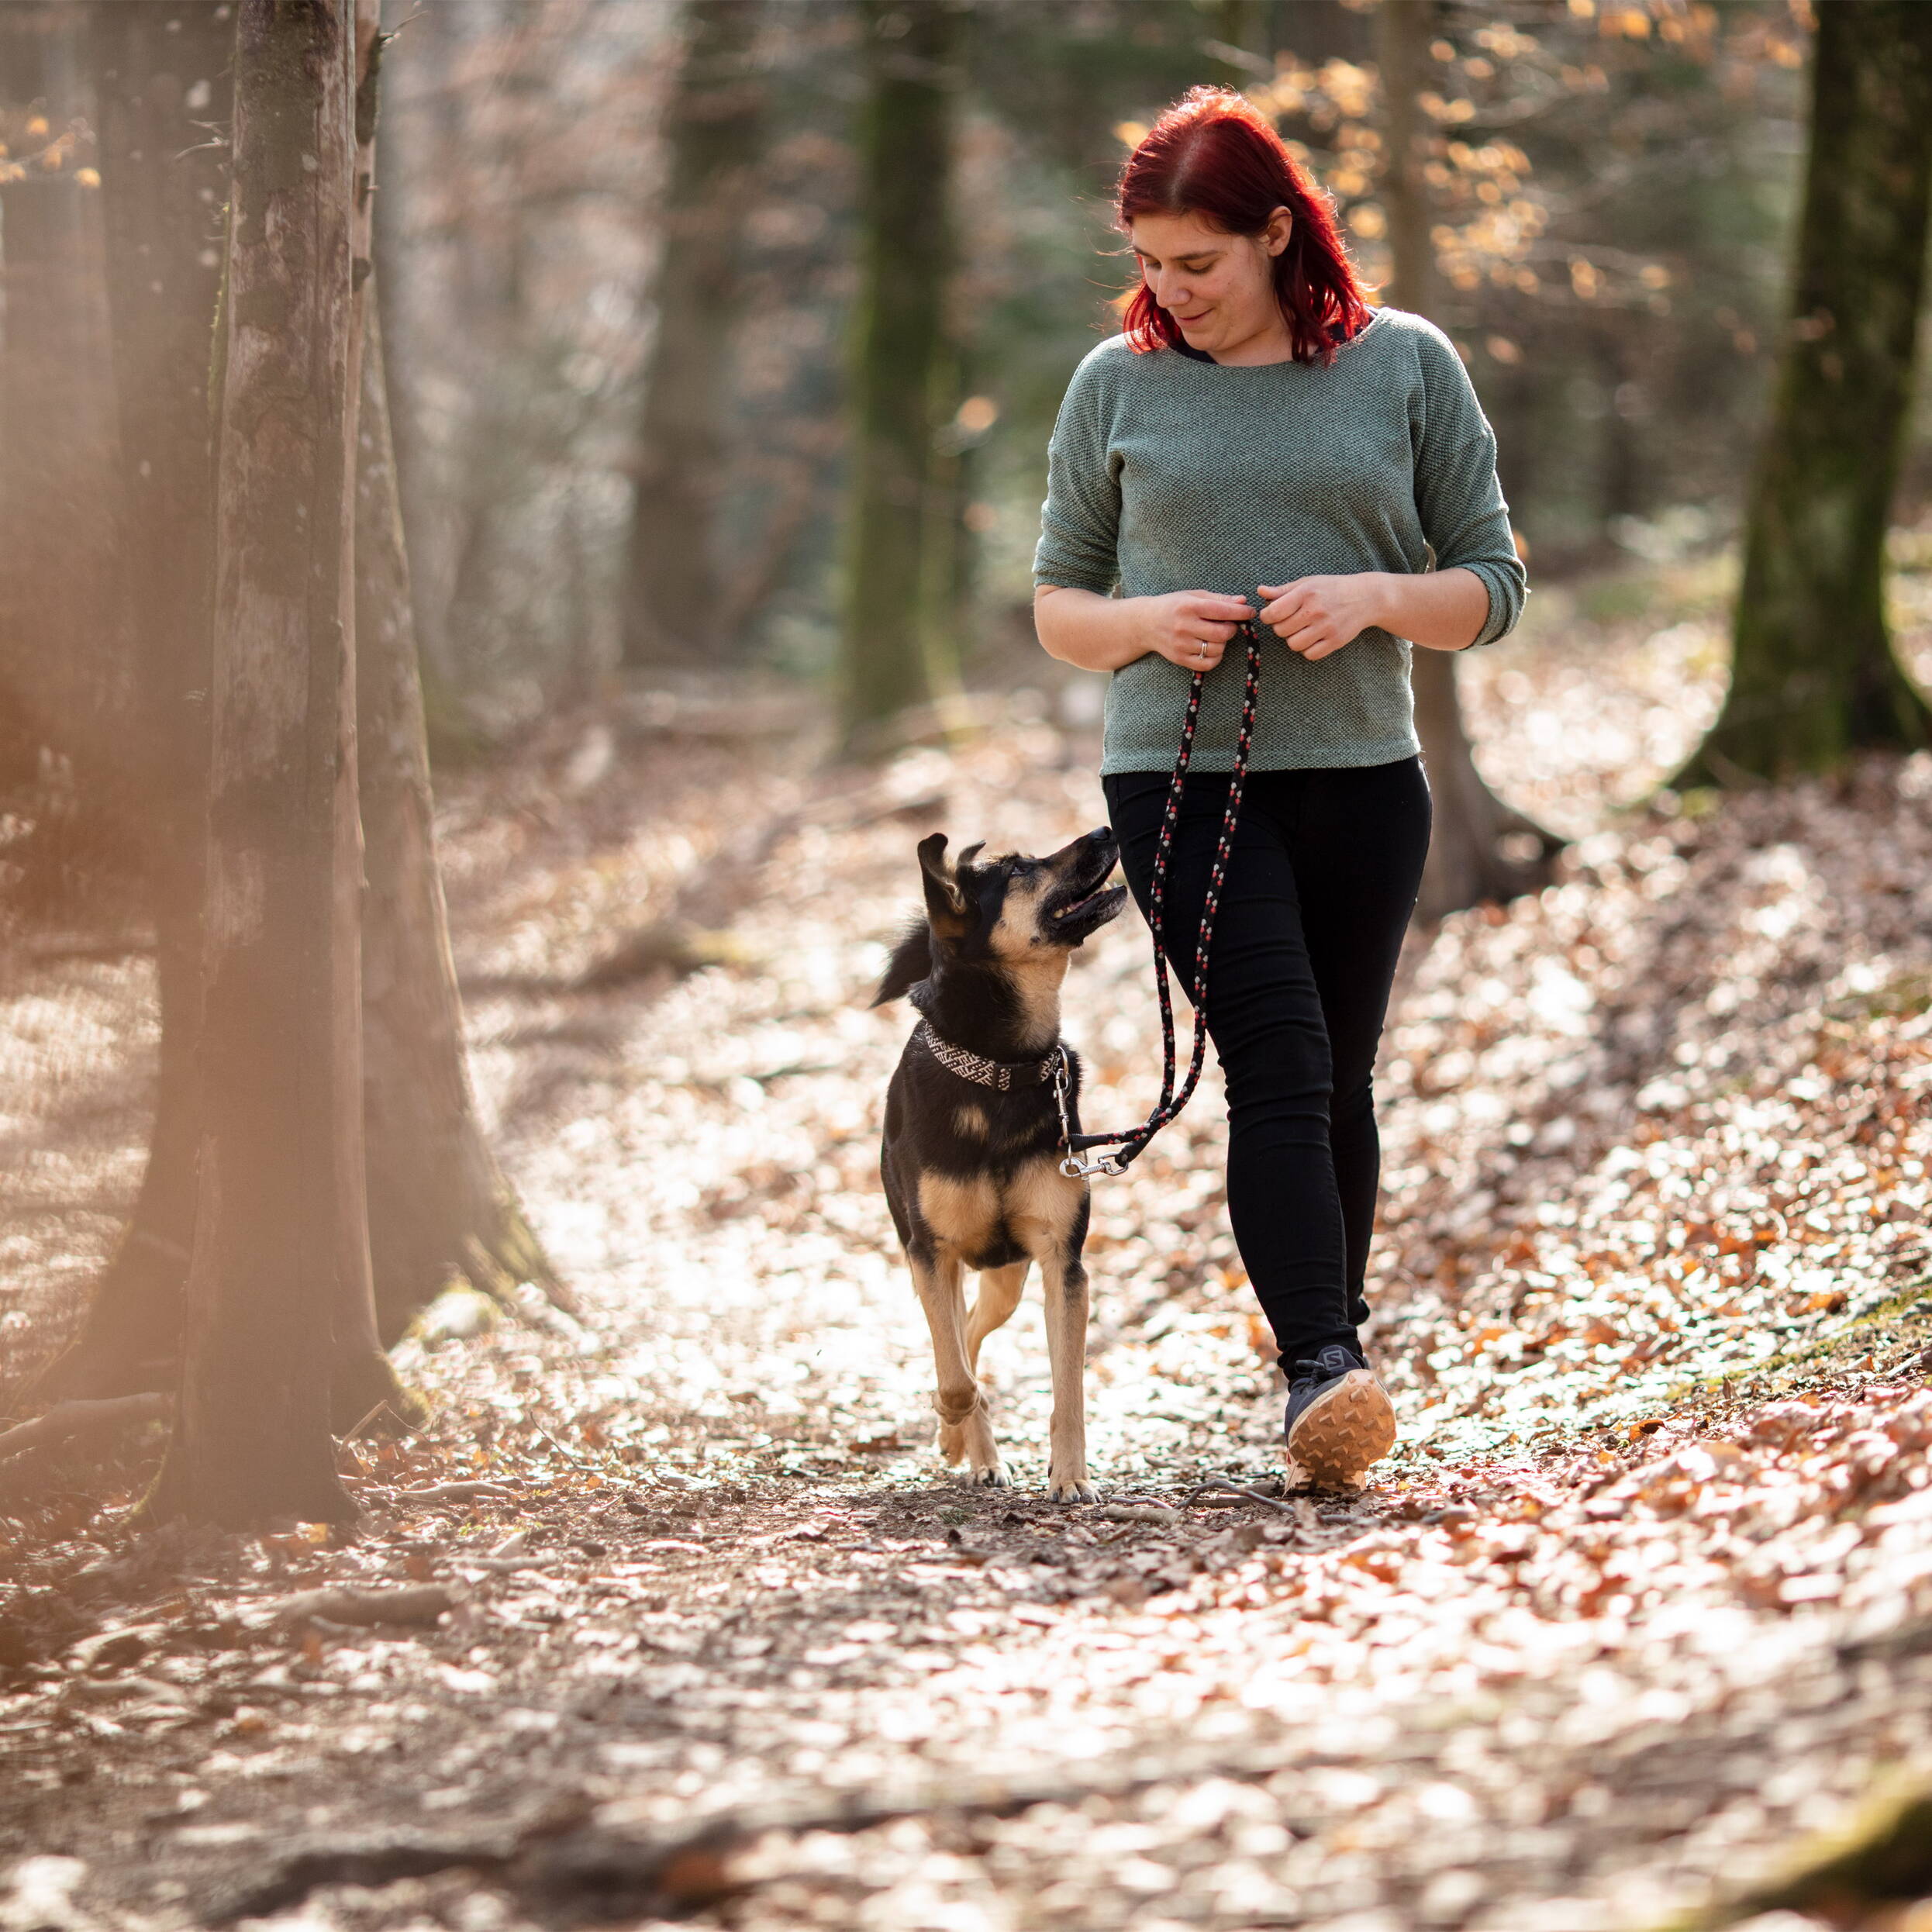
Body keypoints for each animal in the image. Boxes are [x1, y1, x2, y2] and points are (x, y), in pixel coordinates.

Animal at [869, 823, 1128, 1499]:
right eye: (1016, 870)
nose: (1106, 829)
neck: (1001, 1071)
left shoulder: (1062, 1262)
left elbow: (1068, 1387)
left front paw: (1070, 1475)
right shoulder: (932, 1253)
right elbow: (954, 1373)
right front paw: (954, 1420)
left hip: (1008, 1276)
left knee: (974, 1327)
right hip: (937, 1258)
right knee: (955, 1338)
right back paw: (970, 1447)